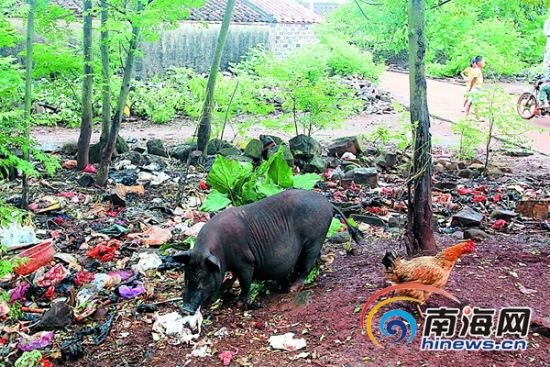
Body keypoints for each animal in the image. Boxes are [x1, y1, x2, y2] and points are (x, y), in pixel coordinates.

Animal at [175, 190, 360, 314]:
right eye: (186, 278)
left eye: (202, 280)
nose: (185, 309)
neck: (220, 252)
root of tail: (328, 203)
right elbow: (227, 281)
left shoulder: (246, 262)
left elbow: (245, 283)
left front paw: (240, 304)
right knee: (315, 259)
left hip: (314, 238)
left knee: (308, 263)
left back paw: (292, 288)